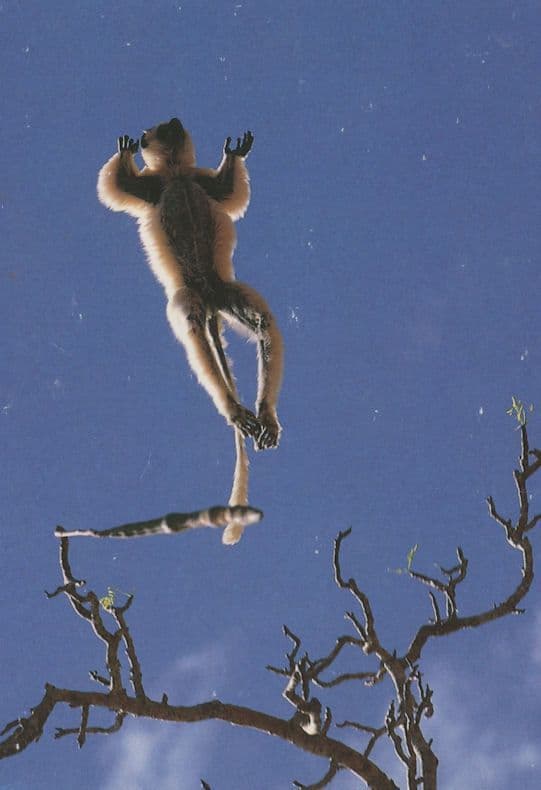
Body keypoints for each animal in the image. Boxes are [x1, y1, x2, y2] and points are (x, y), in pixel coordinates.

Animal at [97, 118, 283, 543]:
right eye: (161, 127)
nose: (174, 122)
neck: (177, 173)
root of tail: (210, 299)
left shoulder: (197, 180)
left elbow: (229, 192)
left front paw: (234, 154)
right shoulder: (153, 187)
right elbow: (117, 185)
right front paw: (126, 152)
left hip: (222, 288)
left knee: (262, 325)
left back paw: (264, 415)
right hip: (190, 295)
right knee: (194, 329)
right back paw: (235, 410)